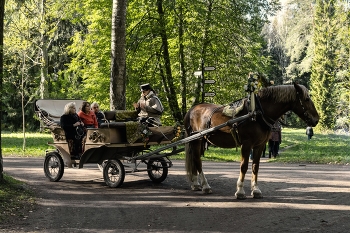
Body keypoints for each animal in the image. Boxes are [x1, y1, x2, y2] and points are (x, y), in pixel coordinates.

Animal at [185, 82, 318, 198]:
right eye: (306, 99)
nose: (316, 119)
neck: (257, 113)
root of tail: (193, 109)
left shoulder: (260, 145)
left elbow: (255, 166)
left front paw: (256, 190)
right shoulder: (246, 144)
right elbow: (244, 166)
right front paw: (240, 191)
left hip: (199, 140)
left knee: (195, 160)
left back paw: (195, 183)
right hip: (196, 140)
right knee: (197, 161)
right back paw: (205, 186)